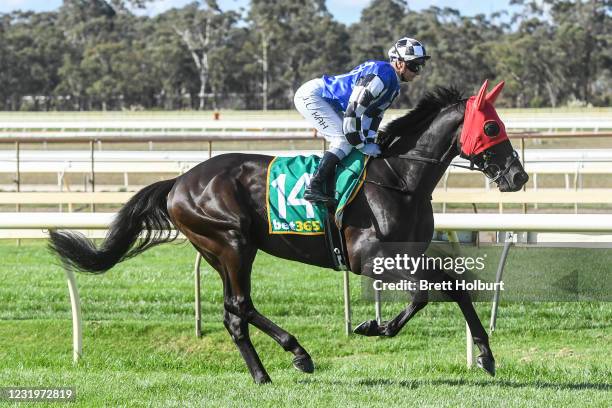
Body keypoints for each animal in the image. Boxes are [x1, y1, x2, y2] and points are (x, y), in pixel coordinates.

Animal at [49, 82, 524, 382]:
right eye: (492, 127)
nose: (518, 176)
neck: (398, 178)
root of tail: (179, 181)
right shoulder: (370, 258)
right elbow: (425, 292)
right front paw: (375, 327)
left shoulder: (408, 252)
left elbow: (454, 286)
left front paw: (486, 355)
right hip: (233, 242)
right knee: (241, 304)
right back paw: (298, 354)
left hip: (219, 251)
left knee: (233, 314)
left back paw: (263, 374)